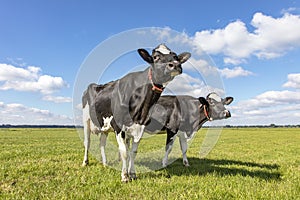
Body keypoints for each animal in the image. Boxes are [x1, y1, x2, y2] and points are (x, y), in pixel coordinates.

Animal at [81, 44, 191, 182]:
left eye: (175, 56)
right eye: (155, 57)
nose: (175, 65)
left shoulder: (140, 126)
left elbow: (132, 152)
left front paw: (132, 173)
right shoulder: (118, 126)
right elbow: (124, 152)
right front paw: (124, 176)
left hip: (105, 126)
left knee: (102, 143)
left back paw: (105, 163)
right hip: (86, 120)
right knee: (87, 142)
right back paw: (85, 162)